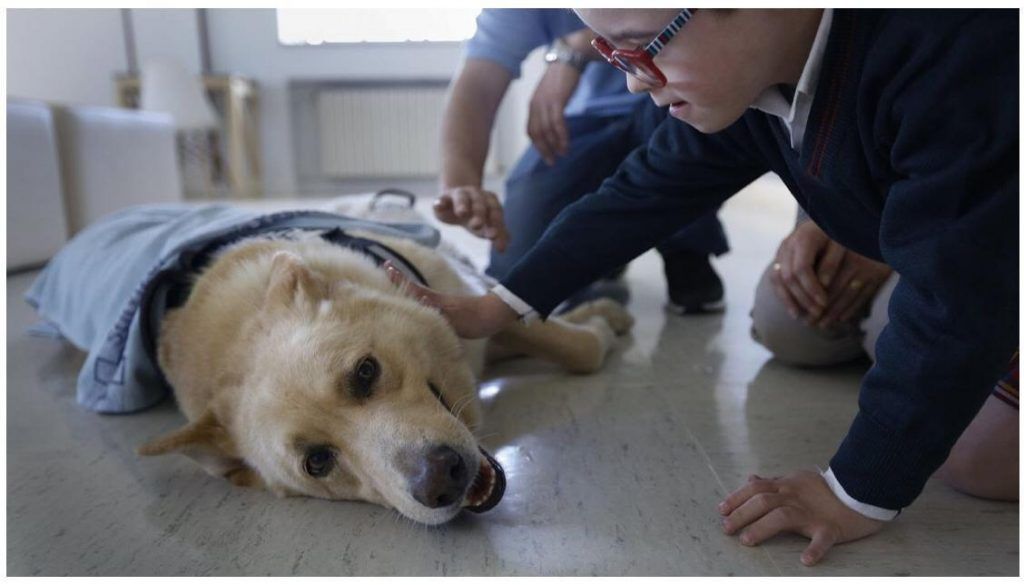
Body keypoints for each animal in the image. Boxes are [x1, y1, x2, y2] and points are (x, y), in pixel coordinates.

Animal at [136, 207, 630, 524]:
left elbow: (573, 345)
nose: (441, 480)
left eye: (365, 372)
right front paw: (599, 324)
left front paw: (600, 326)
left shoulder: (468, 304)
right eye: (318, 462)